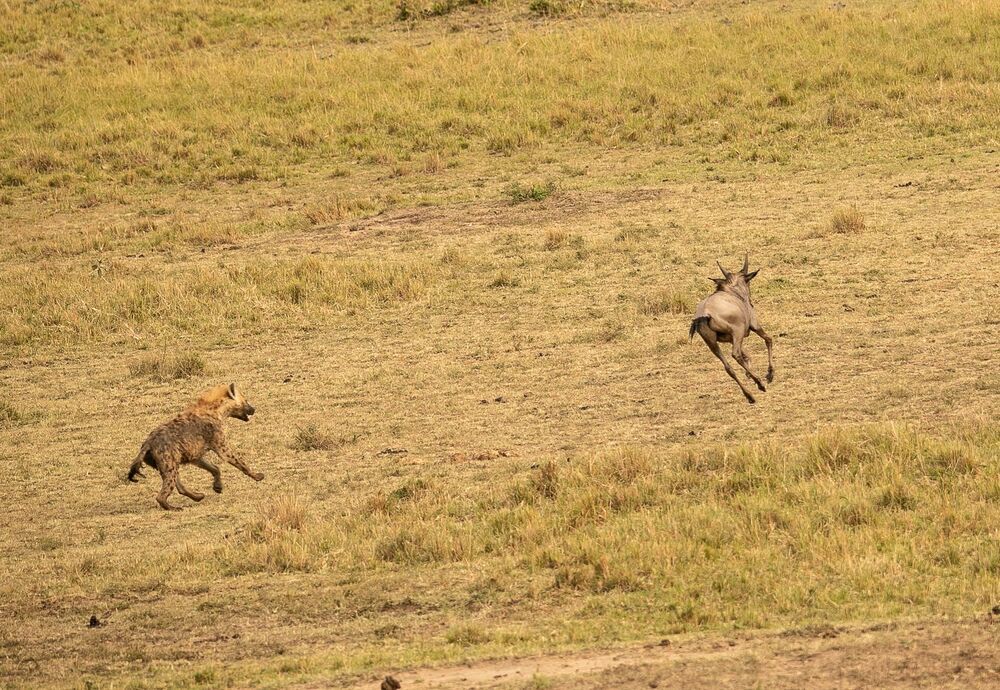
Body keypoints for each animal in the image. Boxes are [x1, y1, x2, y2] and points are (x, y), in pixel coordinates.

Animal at [689, 255, 774, 404]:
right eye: (748, 282)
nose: (751, 302)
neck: (732, 291)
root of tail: (705, 314)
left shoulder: (729, 339)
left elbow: (748, 356)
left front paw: (749, 374)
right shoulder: (754, 325)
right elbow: (768, 340)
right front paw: (769, 374)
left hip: (712, 343)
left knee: (728, 367)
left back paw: (750, 395)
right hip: (737, 332)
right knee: (736, 355)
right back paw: (760, 383)